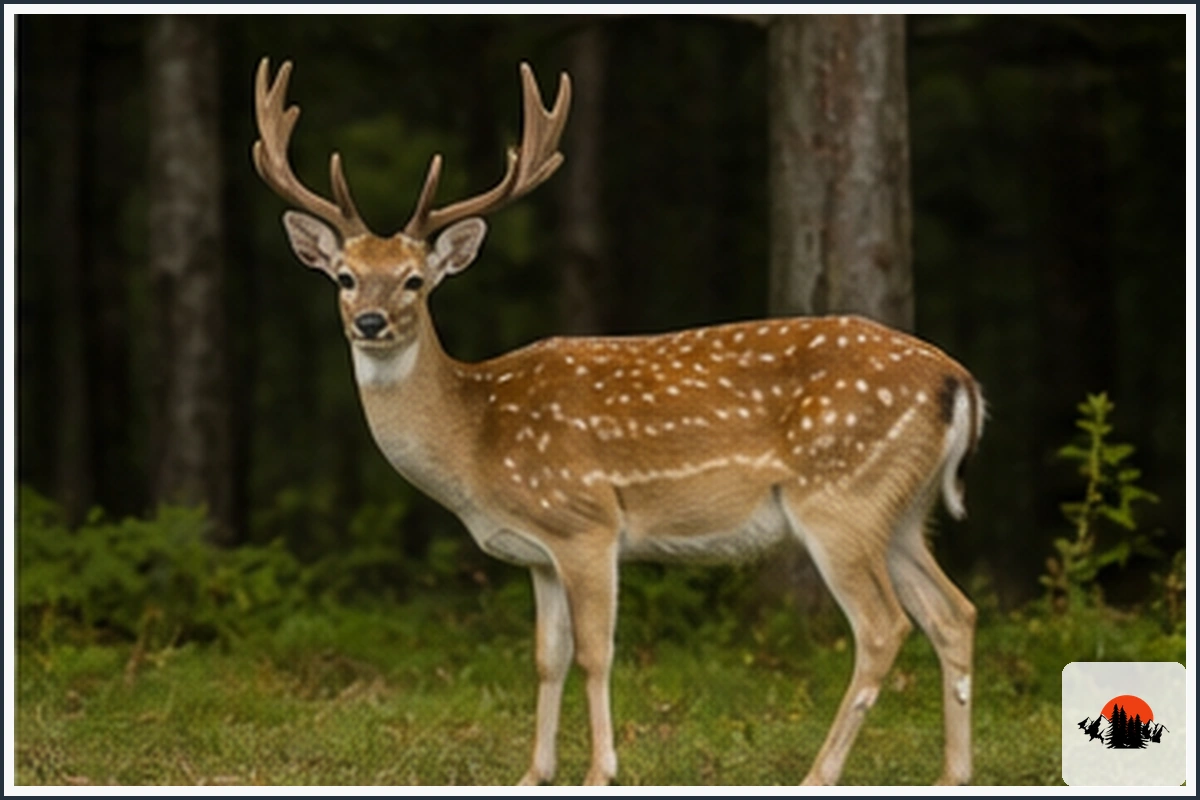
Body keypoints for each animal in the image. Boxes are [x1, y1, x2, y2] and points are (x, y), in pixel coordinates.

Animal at [252, 57, 984, 787]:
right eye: (345, 277)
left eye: (414, 280)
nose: (371, 322)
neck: (475, 440)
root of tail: (960, 382)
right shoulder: (539, 553)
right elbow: (546, 657)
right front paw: (534, 774)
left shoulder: (586, 521)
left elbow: (595, 652)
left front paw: (599, 771)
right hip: (899, 509)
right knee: (954, 612)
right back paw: (953, 774)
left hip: (840, 497)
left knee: (884, 627)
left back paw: (819, 775)